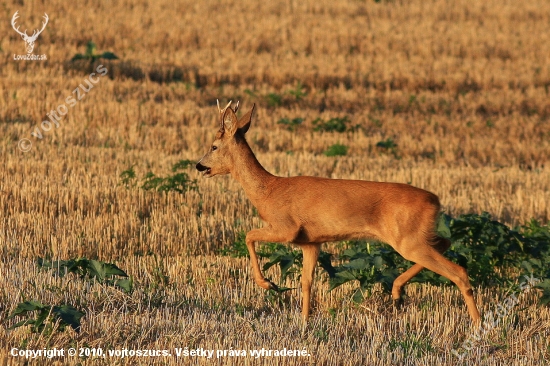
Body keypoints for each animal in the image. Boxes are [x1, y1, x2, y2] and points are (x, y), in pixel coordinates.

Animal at [196, 100, 480, 324]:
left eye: (213, 146)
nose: (199, 165)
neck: (268, 191)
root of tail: (435, 200)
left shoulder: (286, 227)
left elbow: (248, 236)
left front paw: (268, 284)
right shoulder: (311, 242)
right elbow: (306, 281)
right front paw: (304, 320)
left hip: (408, 239)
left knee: (459, 271)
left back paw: (477, 324)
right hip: (416, 236)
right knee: (445, 242)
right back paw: (397, 293)